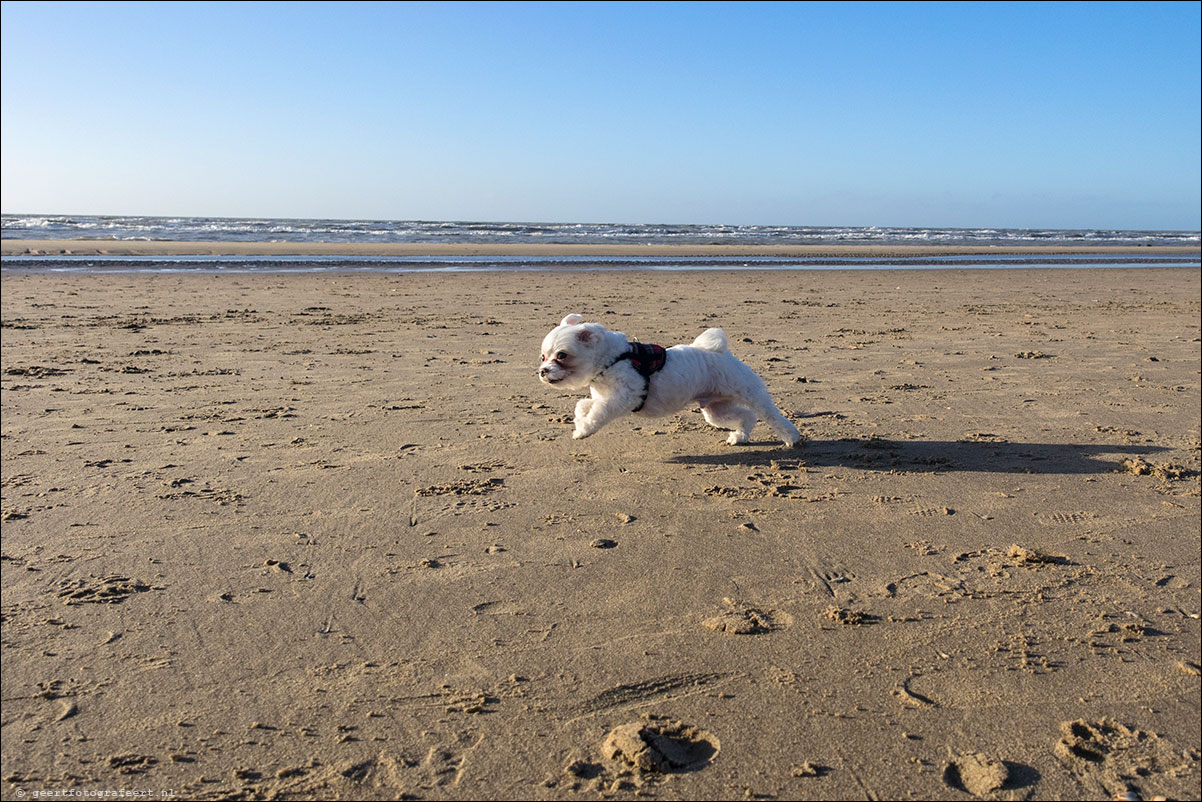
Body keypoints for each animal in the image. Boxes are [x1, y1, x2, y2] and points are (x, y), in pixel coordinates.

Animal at [536, 317, 798, 449]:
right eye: (543, 356)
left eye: (561, 355)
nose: (542, 371)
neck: (612, 359)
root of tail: (719, 351)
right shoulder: (603, 396)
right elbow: (583, 406)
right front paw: (580, 420)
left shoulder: (623, 397)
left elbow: (598, 413)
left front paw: (583, 430)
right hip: (715, 409)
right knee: (746, 416)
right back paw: (739, 436)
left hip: (749, 392)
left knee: (772, 416)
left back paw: (791, 437)